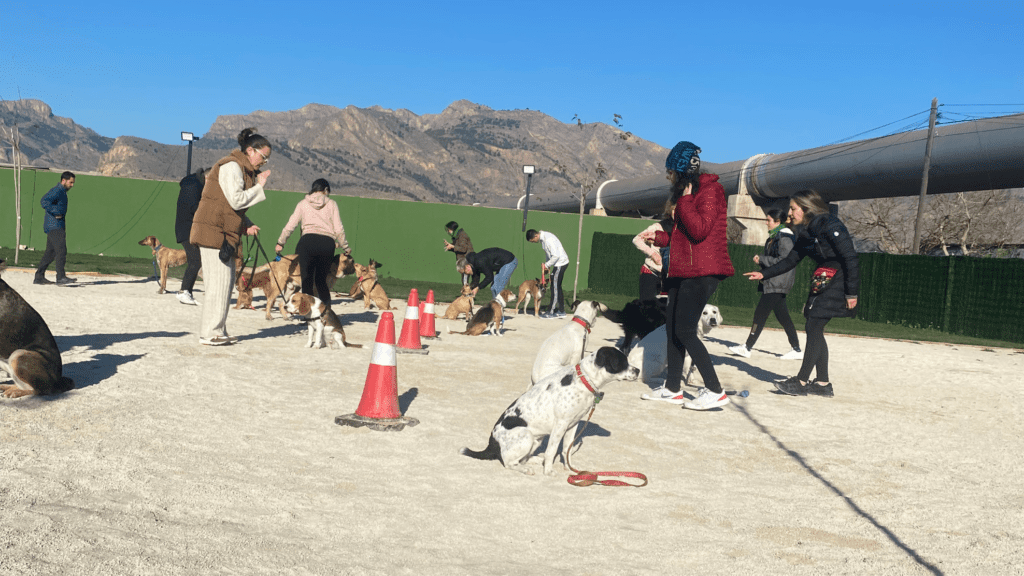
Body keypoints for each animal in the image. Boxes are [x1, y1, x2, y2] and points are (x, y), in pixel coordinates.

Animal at [460, 344, 634, 475]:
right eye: (622, 362)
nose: (638, 371)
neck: (583, 380)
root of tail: (491, 444)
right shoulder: (560, 425)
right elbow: (552, 450)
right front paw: (549, 471)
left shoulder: (573, 425)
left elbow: (566, 450)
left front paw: (569, 468)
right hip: (526, 435)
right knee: (509, 462)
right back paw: (527, 469)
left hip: (536, 440)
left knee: (521, 458)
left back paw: (537, 460)